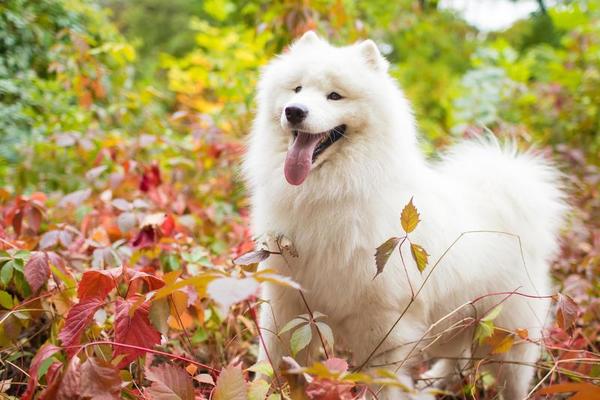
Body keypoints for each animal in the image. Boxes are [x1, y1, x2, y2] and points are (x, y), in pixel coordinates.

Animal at [241, 32, 564, 400]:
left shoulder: (383, 323)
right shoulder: (286, 302)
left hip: (506, 336)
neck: (330, 192)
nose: (294, 111)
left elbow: (381, 384)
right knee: (453, 358)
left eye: (335, 96)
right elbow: (271, 362)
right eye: (296, 89)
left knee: (510, 377)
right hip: (456, 320)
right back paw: (431, 384)